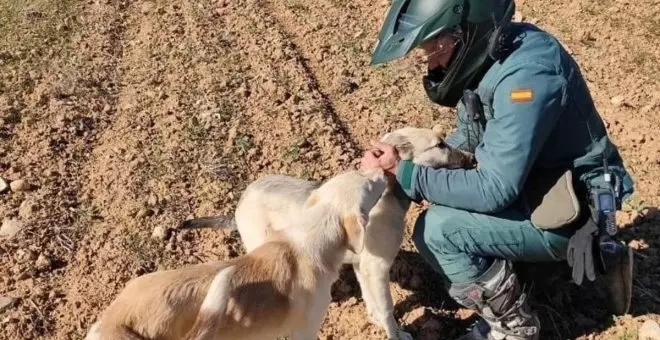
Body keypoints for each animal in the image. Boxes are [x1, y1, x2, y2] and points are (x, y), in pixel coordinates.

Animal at [180, 127, 474, 340]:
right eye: (440, 145)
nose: (472, 158)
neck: (388, 198)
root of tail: (240, 202)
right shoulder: (377, 268)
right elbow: (387, 309)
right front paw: (396, 334)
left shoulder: (363, 267)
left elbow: (373, 303)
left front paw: (377, 322)